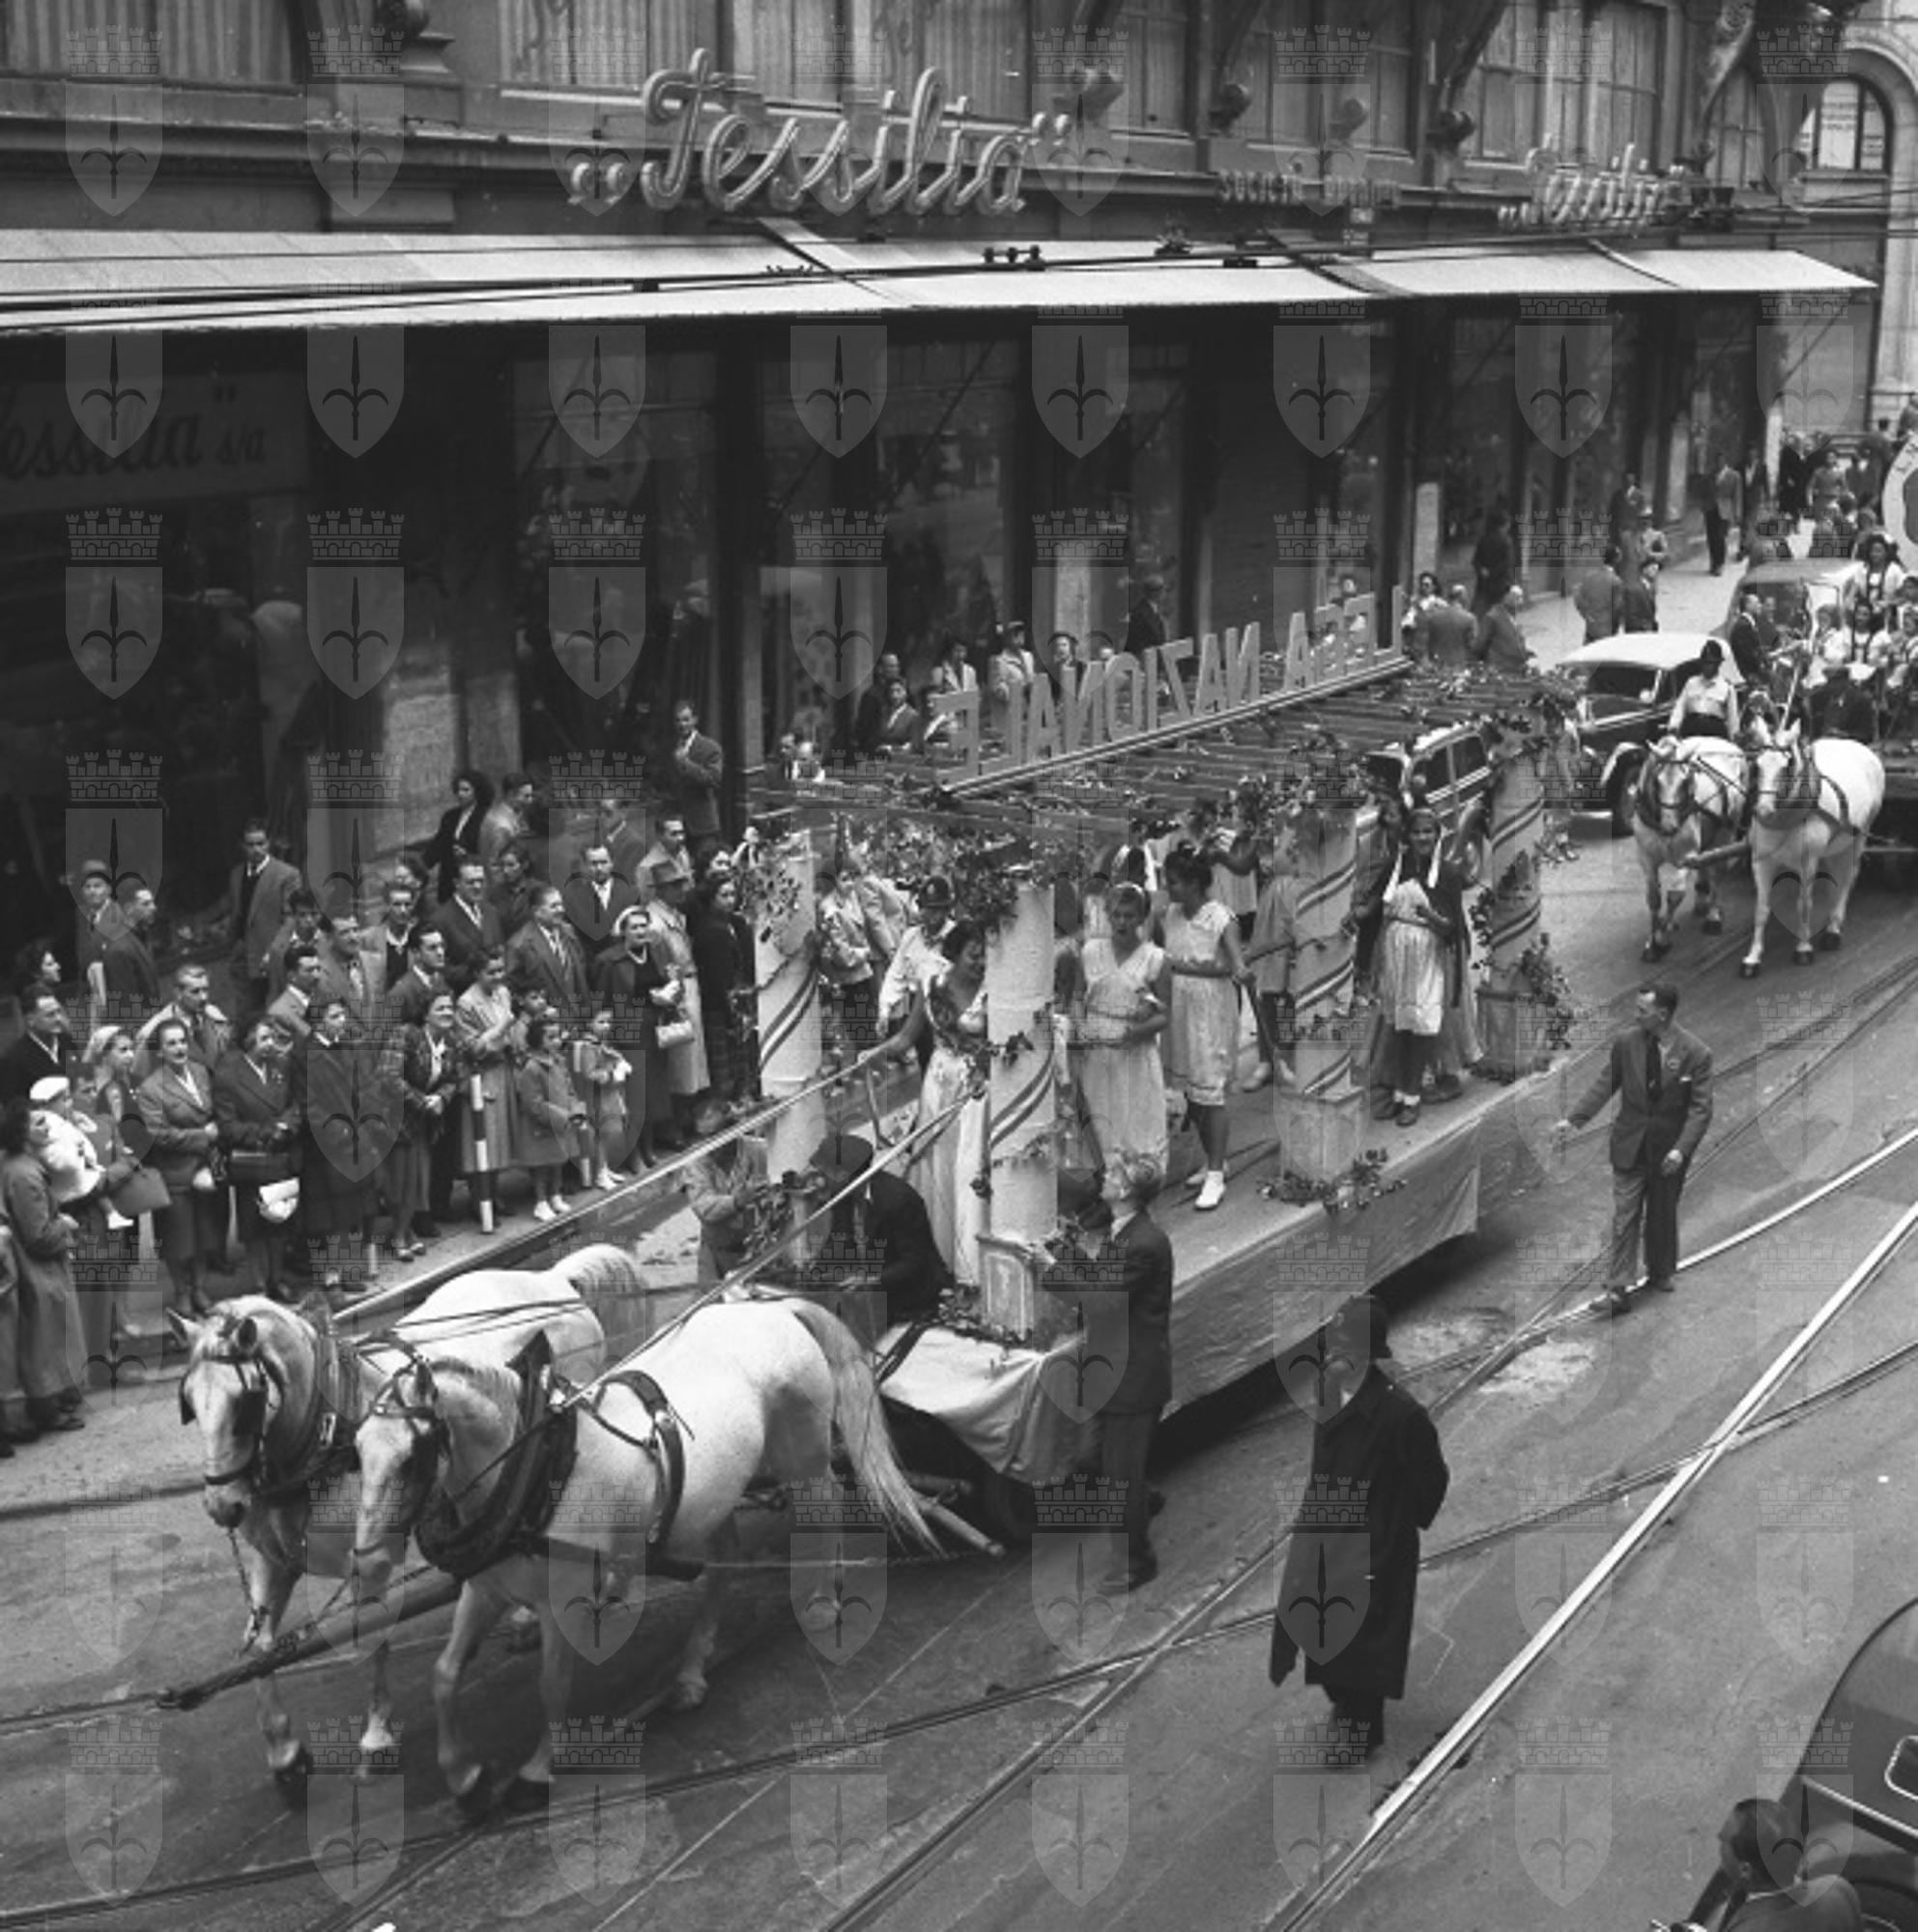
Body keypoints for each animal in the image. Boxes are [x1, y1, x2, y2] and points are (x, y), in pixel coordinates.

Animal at [172, 1244, 633, 1789]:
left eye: (244, 1402)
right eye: (189, 1404)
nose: (223, 1505)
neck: (324, 1428)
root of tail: (552, 1279)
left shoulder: (372, 1559)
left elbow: (371, 1637)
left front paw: (376, 1738)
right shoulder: (274, 1560)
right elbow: (261, 1648)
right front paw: (284, 1752)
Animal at [351, 1292, 939, 1810]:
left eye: (411, 1457)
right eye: (356, 1452)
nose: (369, 1562)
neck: (539, 1469)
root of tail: (776, 1307)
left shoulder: (562, 1600)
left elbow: (552, 1684)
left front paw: (537, 1771)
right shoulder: (487, 1587)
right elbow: (444, 1674)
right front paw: (464, 1776)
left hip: (806, 1453)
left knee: (826, 1502)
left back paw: (819, 1601)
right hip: (714, 1495)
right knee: (722, 1564)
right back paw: (691, 1671)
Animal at [1630, 735, 1749, 960]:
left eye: (1685, 781)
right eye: (1656, 781)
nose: (1670, 827)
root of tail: (1727, 744)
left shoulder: (1687, 856)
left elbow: (1675, 894)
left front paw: (1663, 939)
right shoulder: (1646, 857)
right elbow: (1653, 898)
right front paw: (1653, 942)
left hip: (1726, 832)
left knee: (1716, 872)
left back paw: (1713, 915)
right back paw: (1702, 899)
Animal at [1742, 735, 1885, 975]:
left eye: (1787, 765)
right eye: (1756, 765)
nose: (1763, 810)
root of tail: (1860, 745)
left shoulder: (1808, 861)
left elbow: (1804, 904)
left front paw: (1803, 949)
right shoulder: (1762, 861)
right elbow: (1761, 909)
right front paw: (1753, 958)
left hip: (1861, 834)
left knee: (1847, 878)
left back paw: (1834, 929)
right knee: (1834, 880)